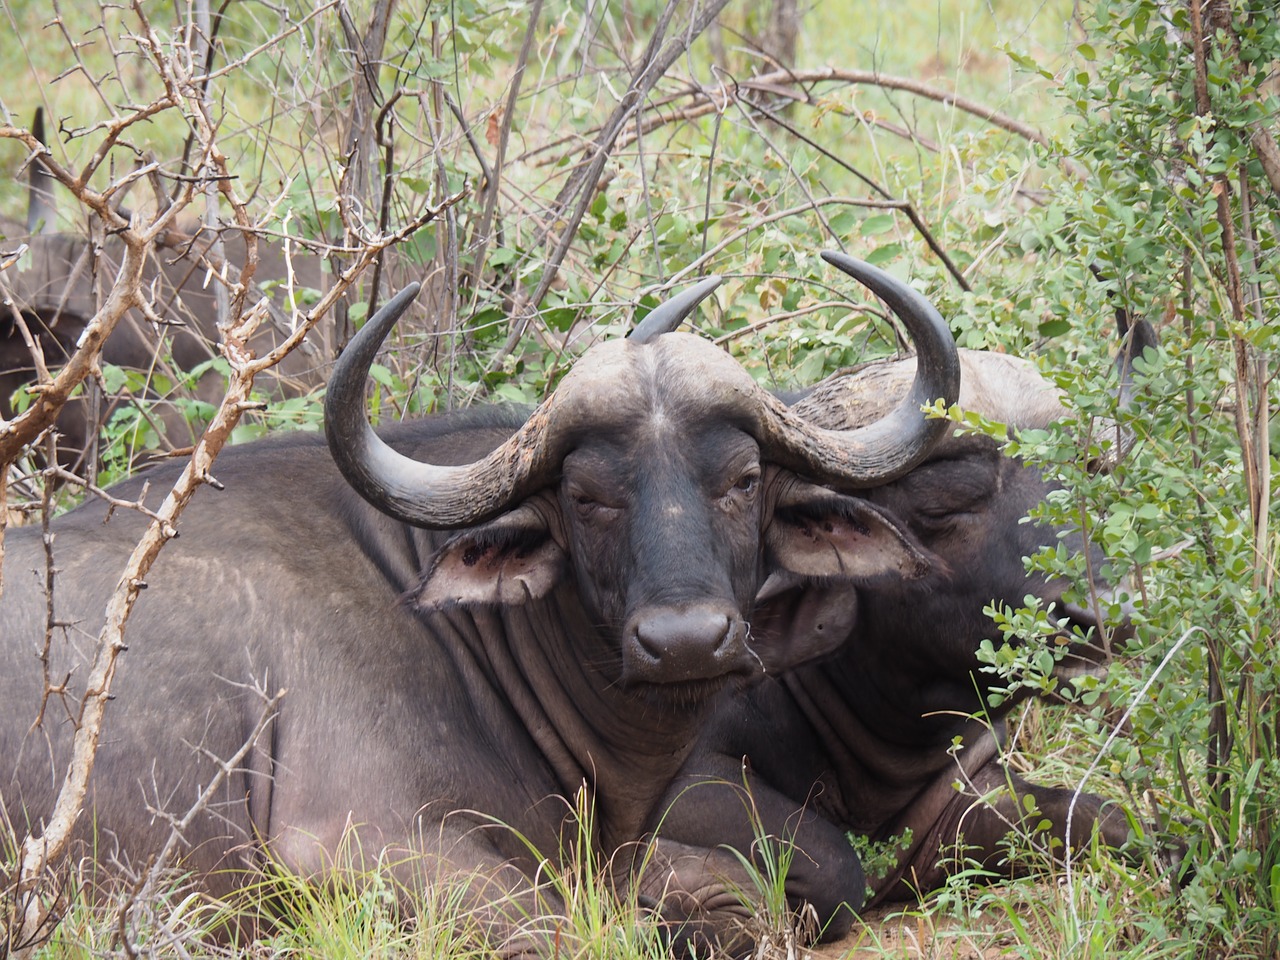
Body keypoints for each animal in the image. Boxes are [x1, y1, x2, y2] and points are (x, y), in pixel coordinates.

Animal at [650, 309, 1162, 947]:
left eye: (1086, 485)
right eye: (944, 503)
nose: (1104, 617)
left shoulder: (959, 800)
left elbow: (1110, 819)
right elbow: (832, 864)